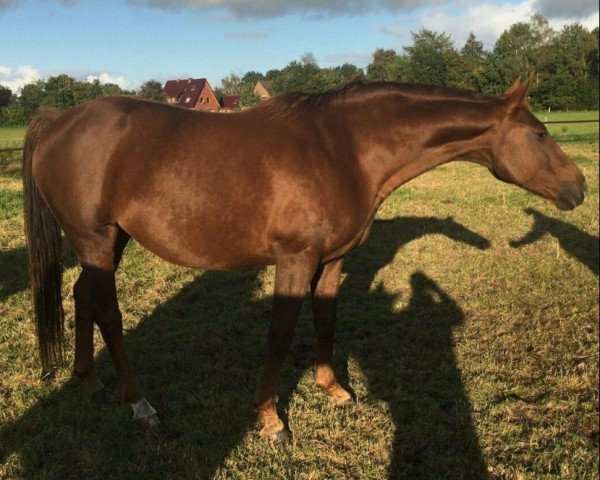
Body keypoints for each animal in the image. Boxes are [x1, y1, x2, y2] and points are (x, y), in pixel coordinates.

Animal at [23, 77, 584, 440]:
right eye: (540, 133)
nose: (578, 187)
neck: (344, 148)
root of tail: (59, 121)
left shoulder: (332, 260)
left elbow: (327, 320)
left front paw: (334, 390)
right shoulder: (294, 260)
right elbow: (280, 332)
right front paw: (271, 418)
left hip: (109, 242)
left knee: (82, 297)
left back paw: (90, 383)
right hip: (95, 240)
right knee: (109, 314)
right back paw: (139, 404)